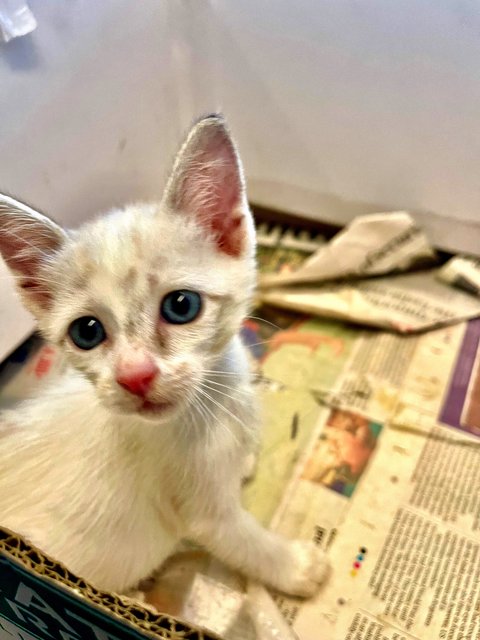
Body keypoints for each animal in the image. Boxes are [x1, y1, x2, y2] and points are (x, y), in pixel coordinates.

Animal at [0, 116, 326, 600]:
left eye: (181, 305)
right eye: (86, 332)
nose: (135, 376)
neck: (214, 405)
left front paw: (244, 462)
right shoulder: (206, 516)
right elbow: (246, 542)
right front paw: (296, 567)